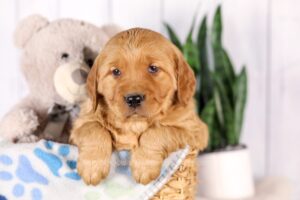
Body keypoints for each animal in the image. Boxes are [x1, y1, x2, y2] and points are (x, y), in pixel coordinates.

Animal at [69, 27, 209, 185]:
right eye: (116, 71)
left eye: (153, 68)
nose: (134, 99)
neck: (134, 124)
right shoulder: (81, 124)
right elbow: (93, 128)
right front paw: (92, 167)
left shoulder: (194, 131)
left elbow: (157, 131)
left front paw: (144, 166)